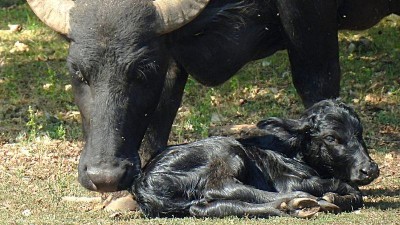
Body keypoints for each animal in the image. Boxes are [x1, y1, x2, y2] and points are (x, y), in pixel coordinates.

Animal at [26, 0, 398, 192]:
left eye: (142, 70)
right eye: (77, 72)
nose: (105, 176)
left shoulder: (310, 18)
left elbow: (318, 84)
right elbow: (162, 113)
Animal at [133, 99, 380, 217]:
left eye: (359, 132)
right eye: (331, 137)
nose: (370, 169)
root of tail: (143, 181)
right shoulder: (287, 180)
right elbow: (345, 187)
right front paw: (336, 195)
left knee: (209, 207)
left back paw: (291, 206)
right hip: (226, 150)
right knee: (224, 188)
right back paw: (298, 199)